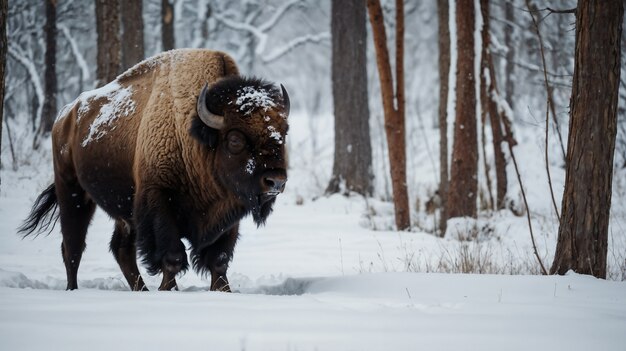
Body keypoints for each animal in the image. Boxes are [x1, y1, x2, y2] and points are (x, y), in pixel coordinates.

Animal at [18, 48, 290, 292]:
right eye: (234, 139)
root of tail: (65, 117)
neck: (196, 136)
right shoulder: (158, 200)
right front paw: (168, 290)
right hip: (72, 191)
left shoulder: (229, 211)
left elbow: (219, 259)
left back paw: (141, 290)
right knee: (73, 246)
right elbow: (172, 255)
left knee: (121, 249)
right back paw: (72, 290)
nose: (275, 181)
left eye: (283, 133)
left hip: (124, 210)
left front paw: (223, 291)